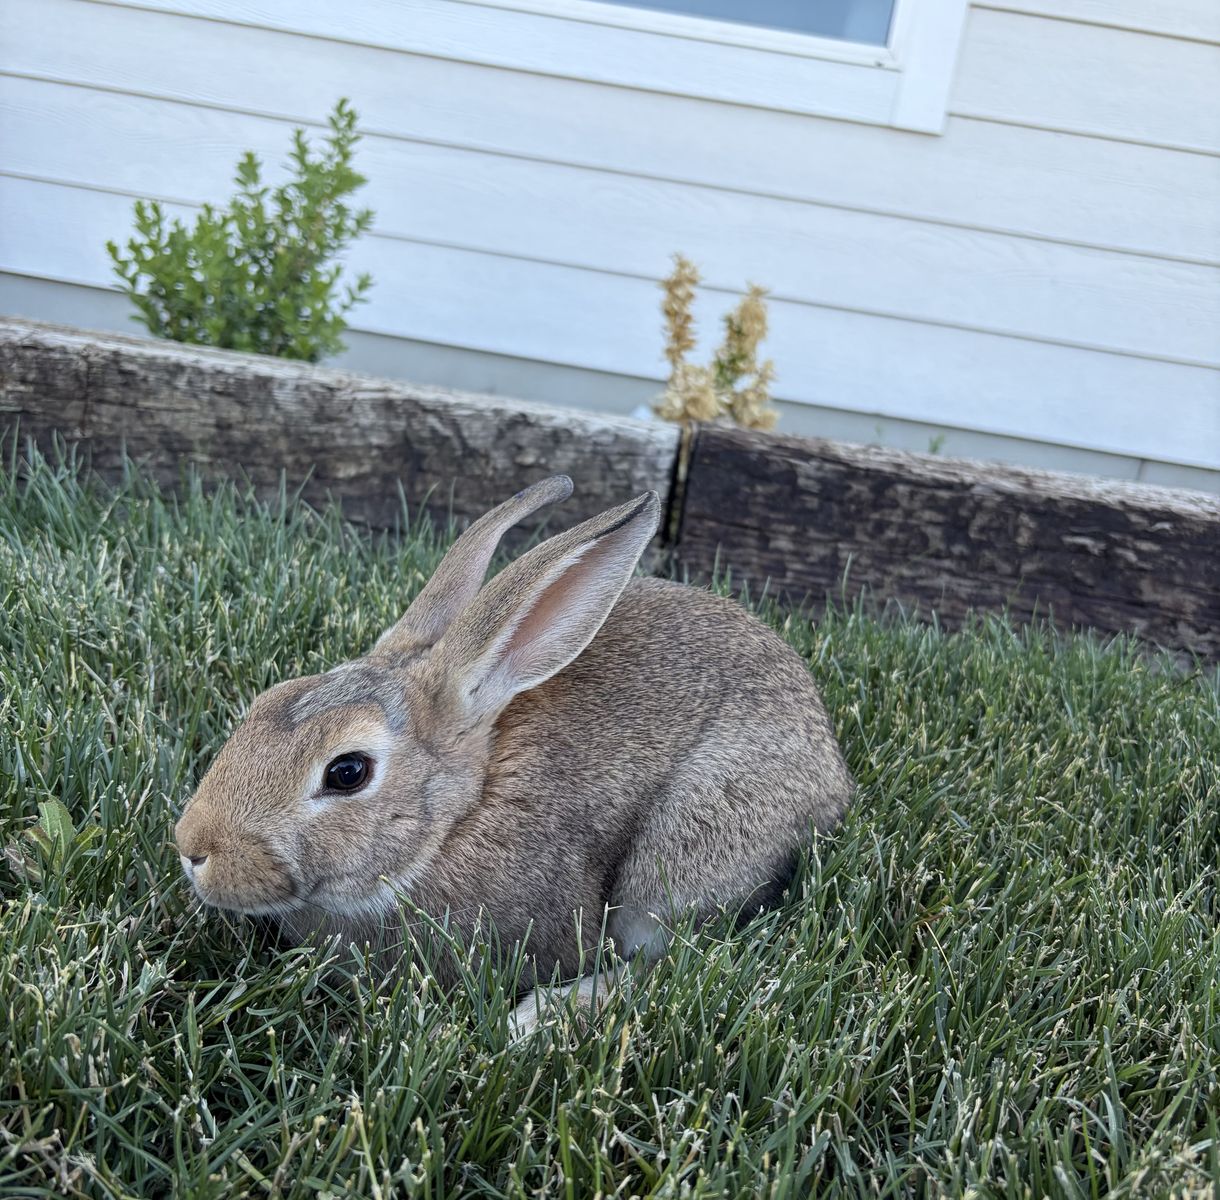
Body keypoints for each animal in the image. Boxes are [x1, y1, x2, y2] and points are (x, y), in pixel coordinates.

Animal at [174, 475, 853, 1035]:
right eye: (268, 699)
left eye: (347, 772)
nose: (192, 847)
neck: (459, 817)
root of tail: (830, 772)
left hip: (687, 848)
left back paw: (542, 1017)